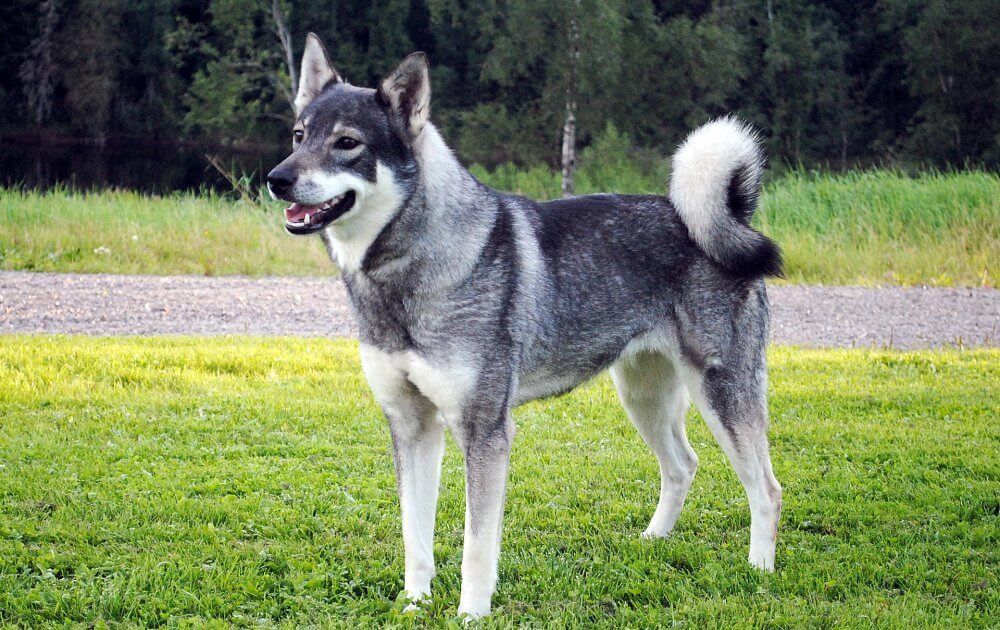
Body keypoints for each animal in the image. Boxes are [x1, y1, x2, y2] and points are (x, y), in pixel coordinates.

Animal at [270, 33, 784, 616]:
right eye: (299, 135)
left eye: (347, 143)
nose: (276, 179)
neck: (410, 271)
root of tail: (730, 220)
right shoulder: (411, 426)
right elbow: (414, 536)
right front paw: (415, 605)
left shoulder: (485, 431)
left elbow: (476, 544)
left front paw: (471, 614)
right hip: (643, 396)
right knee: (683, 465)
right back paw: (653, 541)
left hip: (722, 394)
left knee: (766, 491)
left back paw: (759, 572)